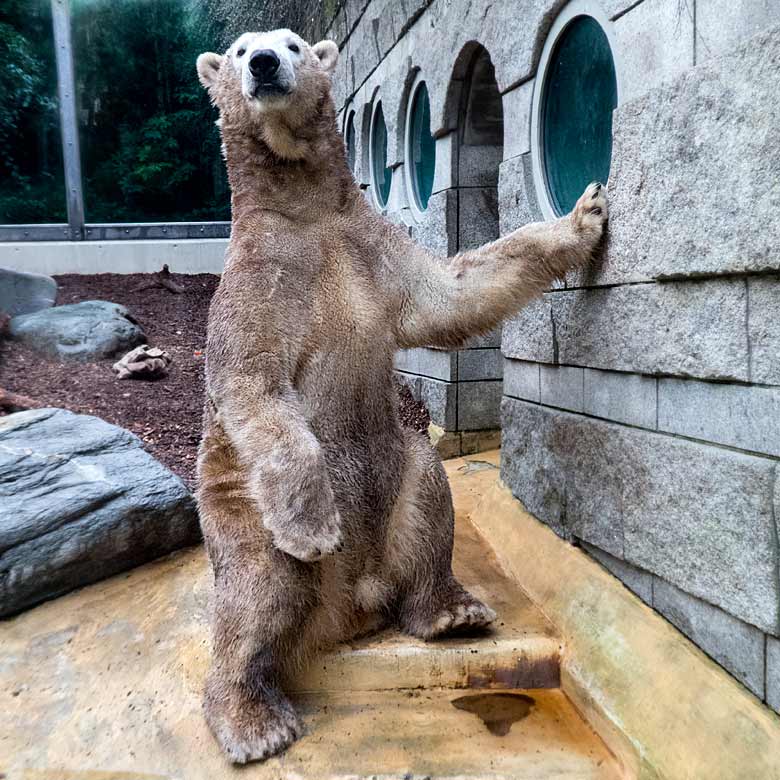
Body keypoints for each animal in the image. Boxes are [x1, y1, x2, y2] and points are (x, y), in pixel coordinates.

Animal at [195, 29, 608, 760]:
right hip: (235, 504)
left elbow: (453, 292)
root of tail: (348, 610)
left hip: (395, 475)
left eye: (292, 44)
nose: (265, 65)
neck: (304, 211)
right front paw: (314, 526)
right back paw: (255, 720)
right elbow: (255, 386)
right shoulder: (255, 285)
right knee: (258, 588)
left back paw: (450, 612)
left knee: (426, 491)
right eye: (240, 50)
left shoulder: (370, 250)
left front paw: (584, 216)